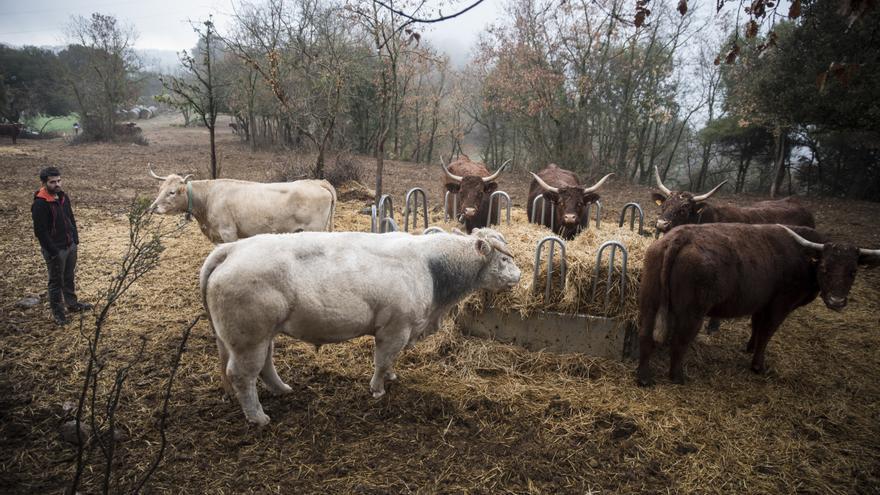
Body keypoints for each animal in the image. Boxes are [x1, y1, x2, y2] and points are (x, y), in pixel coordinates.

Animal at [148, 167, 334, 244]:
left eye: (172, 192)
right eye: (160, 189)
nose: (152, 207)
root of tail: (317, 182)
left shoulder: (228, 232)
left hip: (315, 229)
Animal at [199, 229, 524, 426]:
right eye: (503, 258)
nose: (520, 275)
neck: (430, 271)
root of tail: (231, 249)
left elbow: (391, 361)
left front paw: (392, 376)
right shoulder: (395, 328)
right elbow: (381, 360)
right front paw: (378, 389)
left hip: (263, 334)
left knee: (265, 365)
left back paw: (282, 390)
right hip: (248, 338)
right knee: (242, 376)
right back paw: (258, 417)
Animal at [636, 222, 880, 388]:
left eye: (853, 271)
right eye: (825, 268)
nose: (836, 301)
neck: (802, 256)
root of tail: (681, 236)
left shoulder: (761, 304)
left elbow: (756, 326)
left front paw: (749, 347)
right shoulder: (779, 305)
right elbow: (766, 333)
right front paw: (758, 365)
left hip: (649, 302)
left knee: (646, 334)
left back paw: (644, 377)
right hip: (692, 313)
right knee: (680, 341)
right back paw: (677, 377)